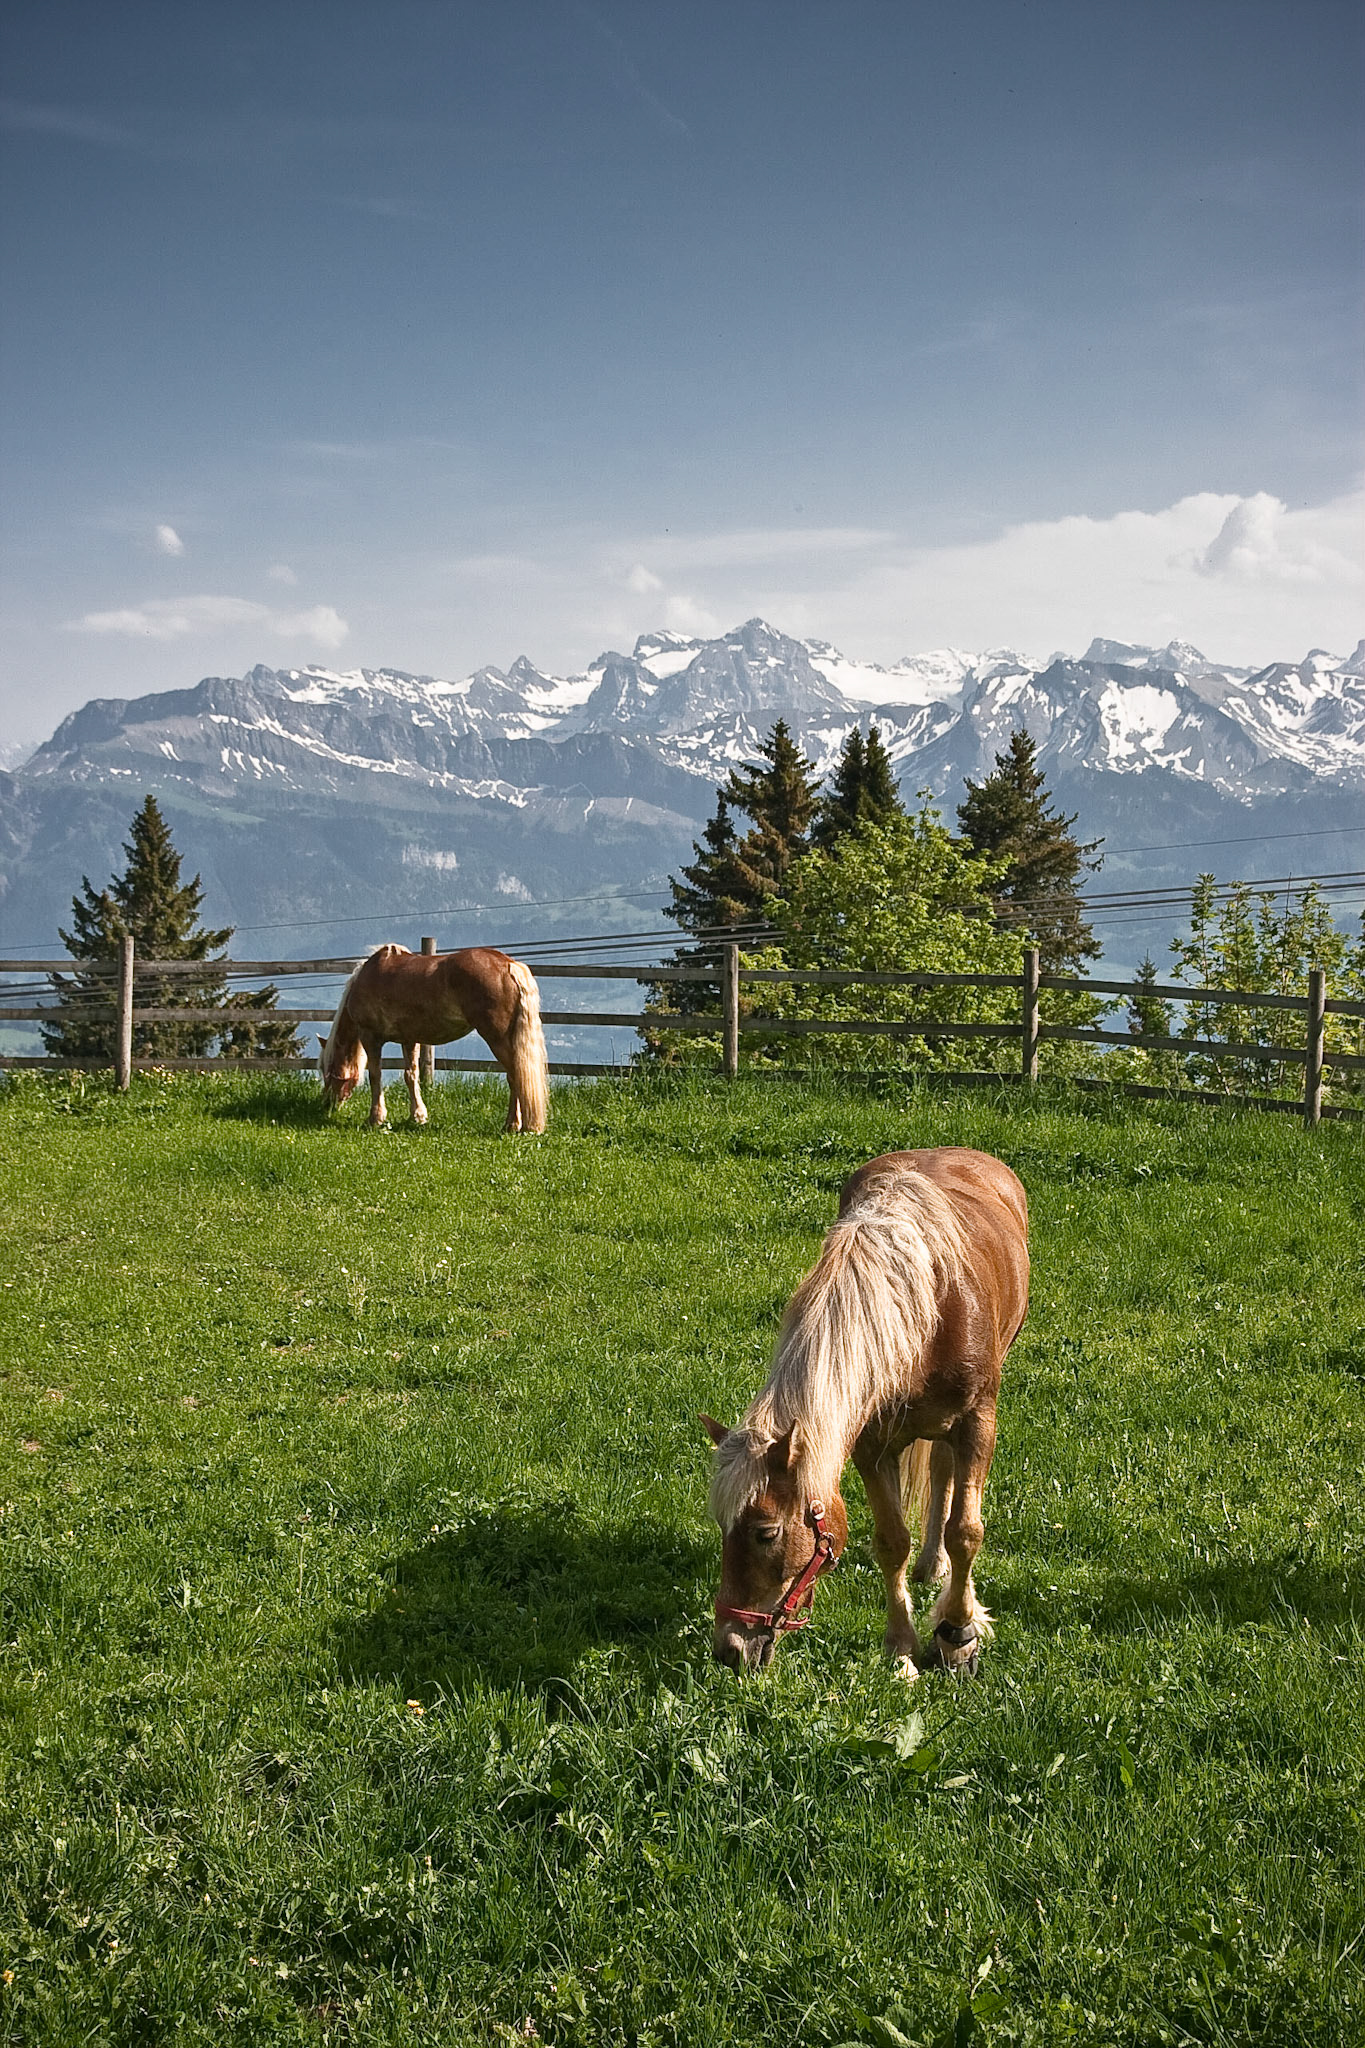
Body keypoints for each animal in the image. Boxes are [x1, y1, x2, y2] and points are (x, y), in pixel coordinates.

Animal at [318, 944, 550, 1133]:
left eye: (328, 1071)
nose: (326, 1105)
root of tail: (509, 965)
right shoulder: (409, 1039)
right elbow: (411, 1075)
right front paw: (418, 1116)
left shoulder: (370, 1037)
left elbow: (376, 1076)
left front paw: (376, 1118)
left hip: (497, 1039)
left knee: (516, 1076)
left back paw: (514, 1125)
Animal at [702, 1146, 1028, 1678]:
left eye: (766, 1533)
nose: (729, 1650)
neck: (928, 1309)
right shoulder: (871, 1447)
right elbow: (892, 1542)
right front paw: (901, 1649)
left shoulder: (978, 1423)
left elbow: (966, 1532)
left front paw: (958, 1635)